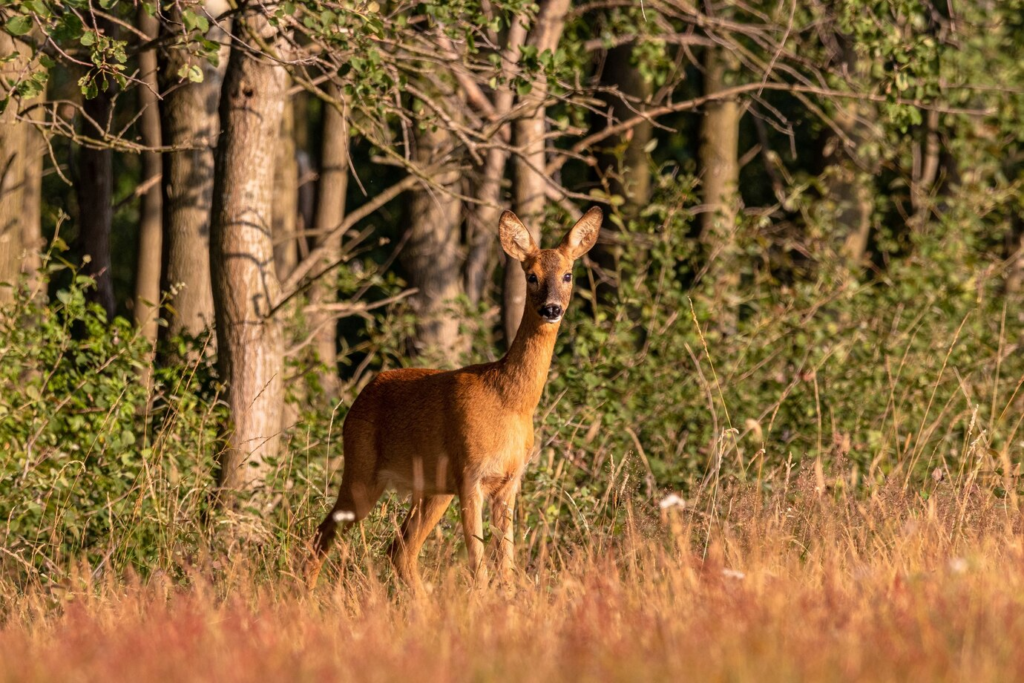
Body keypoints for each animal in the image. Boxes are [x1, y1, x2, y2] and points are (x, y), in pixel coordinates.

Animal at [303, 205, 602, 589]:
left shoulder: (509, 483)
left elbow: (506, 567)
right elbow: (480, 568)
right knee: (322, 536)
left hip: (432, 488)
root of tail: (360, 397)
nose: (552, 309)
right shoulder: (469, 475)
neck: (510, 401)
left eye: (567, 274)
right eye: (531, 276)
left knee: (399, 550)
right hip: (362, 471)